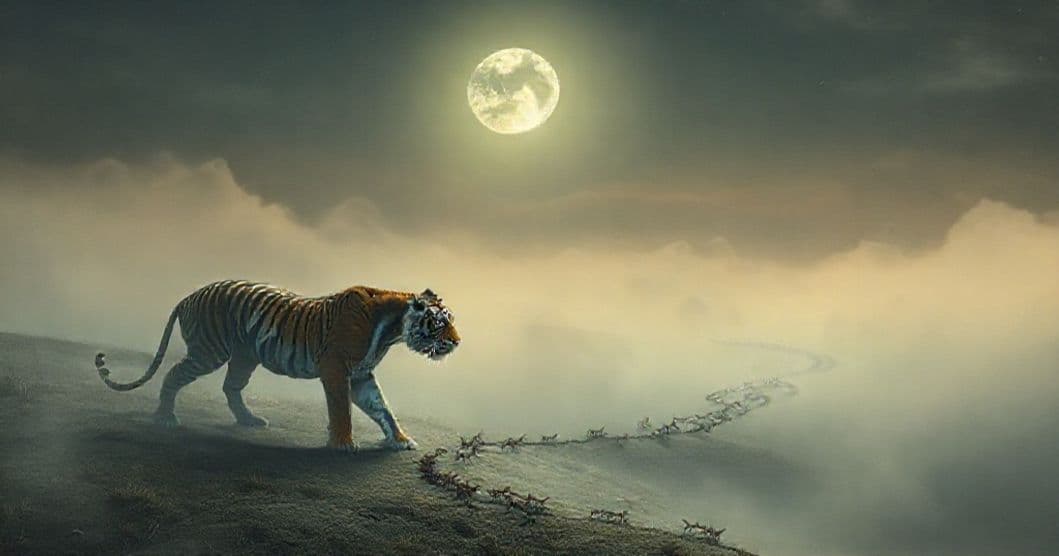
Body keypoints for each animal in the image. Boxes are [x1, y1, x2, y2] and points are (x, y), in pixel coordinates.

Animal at [94, 280, 460, 451]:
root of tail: (187, 297)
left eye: (450, 320)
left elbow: (382, 408)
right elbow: (342, 408)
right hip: (209, 352)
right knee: (173, 375)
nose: (457, 342)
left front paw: (401, 440)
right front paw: (343, 444)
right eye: (440, 323)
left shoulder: (360, 375)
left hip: (244, 357)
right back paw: (165, 417)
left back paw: (249, 420)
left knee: (231, 386)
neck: (392, 331)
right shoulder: (336, 368)